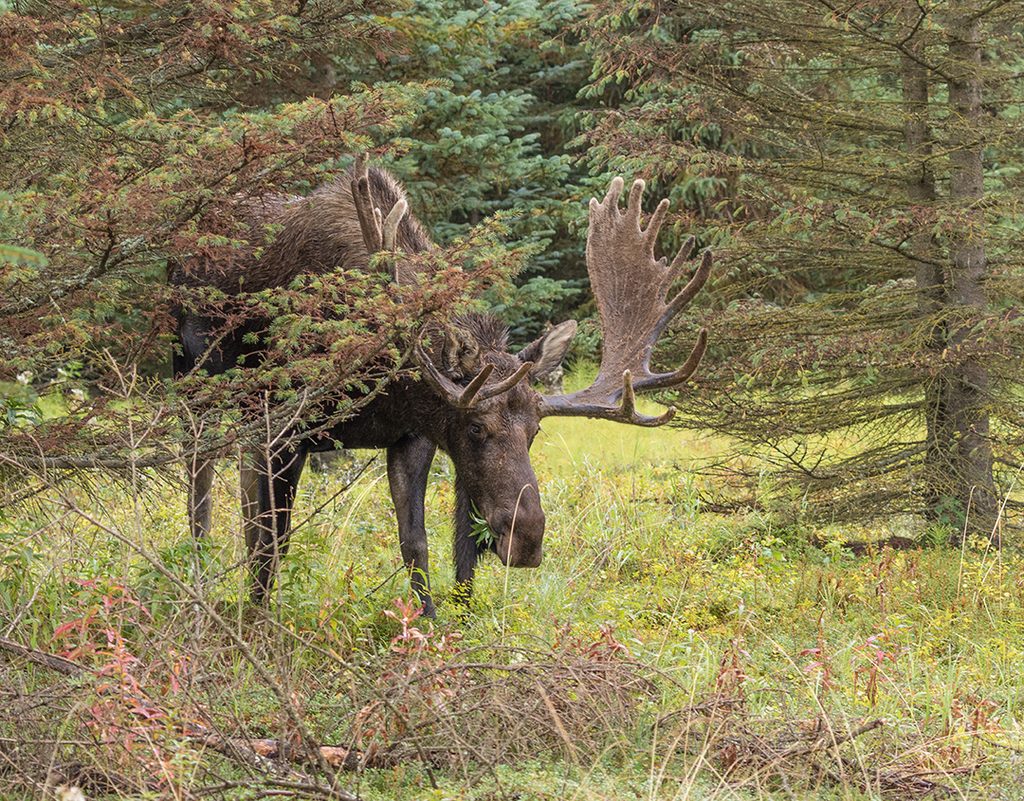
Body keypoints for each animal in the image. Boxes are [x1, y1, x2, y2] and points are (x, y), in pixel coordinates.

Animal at [173, 159, 711, 616]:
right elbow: (268, 538)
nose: (527, 539)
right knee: (199, 483)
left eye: (535, 432)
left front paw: (428, 624)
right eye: (475, 428)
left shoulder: (413, 435)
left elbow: (417, 542)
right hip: (192, 378)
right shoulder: (282, 425)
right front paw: (256, 620)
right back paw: (197, 572)